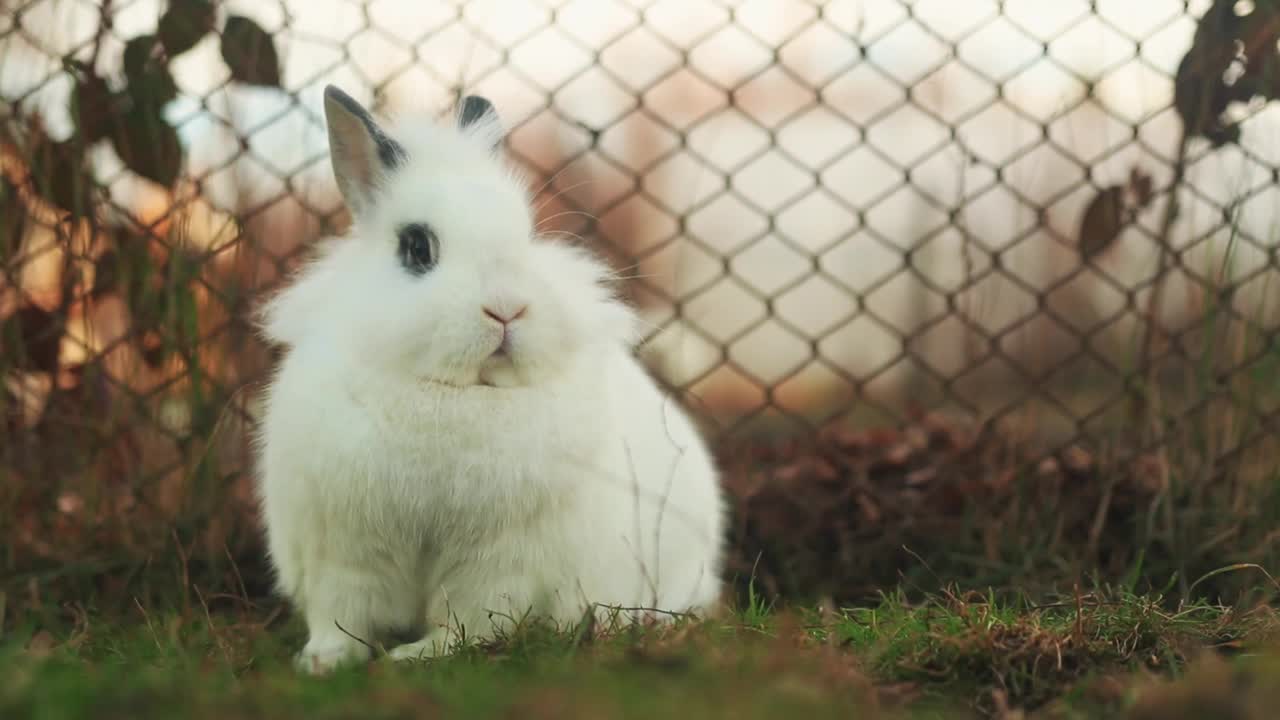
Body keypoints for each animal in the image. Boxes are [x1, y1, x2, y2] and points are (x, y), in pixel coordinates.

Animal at [254, 87, 727, 671]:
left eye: (525, 237)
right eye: (417, 247)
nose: (506, 309)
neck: (453, 394)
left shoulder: (498, 560)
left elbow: (470, 619)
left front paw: (419, 655)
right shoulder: (341, 547)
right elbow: (341, 612)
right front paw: (323, 661)